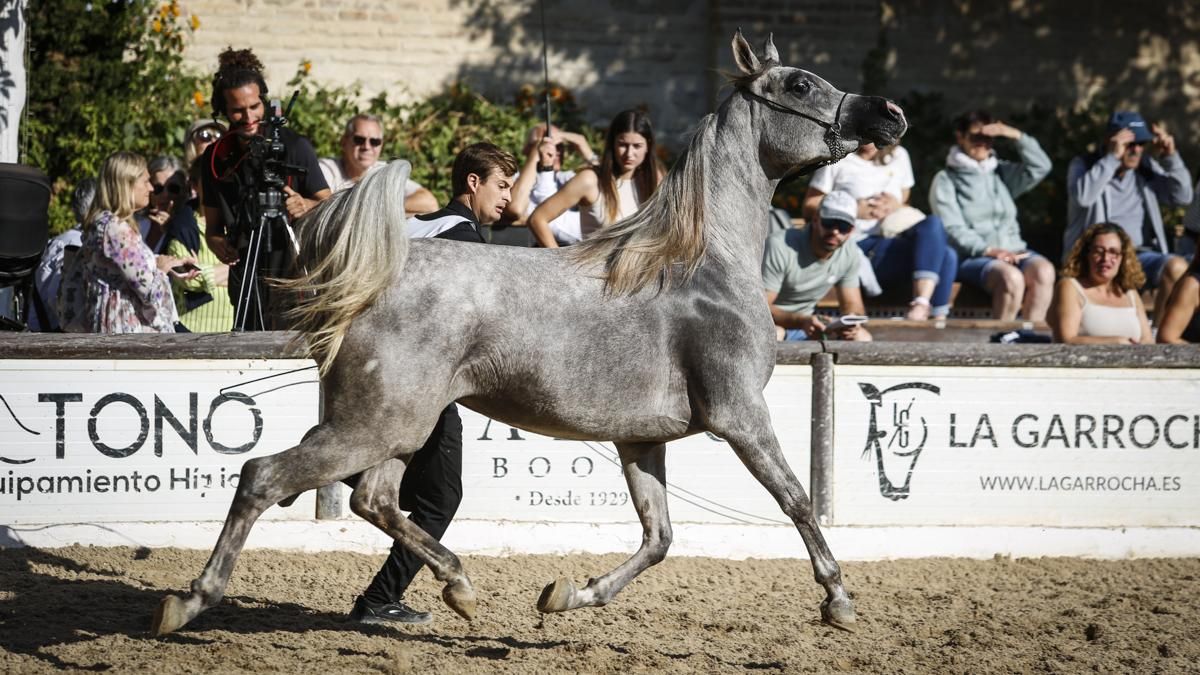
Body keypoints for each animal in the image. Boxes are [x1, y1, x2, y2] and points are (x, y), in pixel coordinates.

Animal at [151, 31, 906, 636]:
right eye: (800, 84)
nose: (890, 114)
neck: (699, 262)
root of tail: (373, 274)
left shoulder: (642, 439)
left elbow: (659, 536)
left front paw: (566, 594)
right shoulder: (739, 415)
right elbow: (797, 500)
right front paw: (838, 600)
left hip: (396, 428)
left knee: (374, 499)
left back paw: (457, 586)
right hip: (375, 425)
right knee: (263, 475)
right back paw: (188, 603)